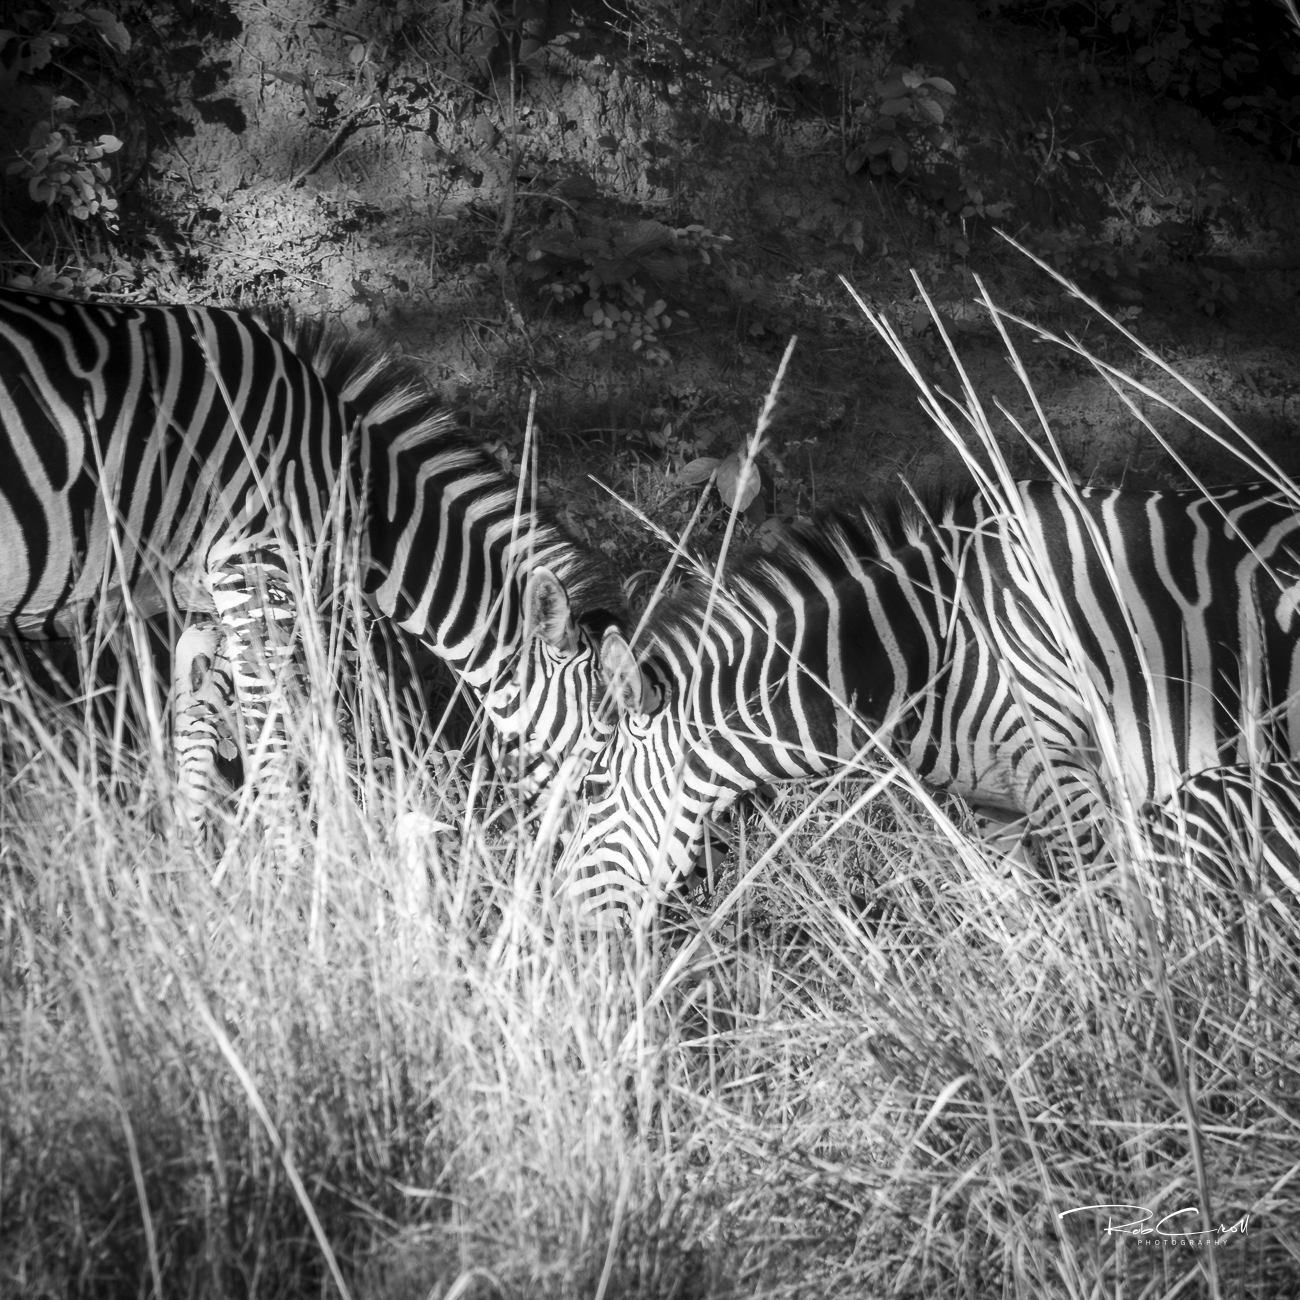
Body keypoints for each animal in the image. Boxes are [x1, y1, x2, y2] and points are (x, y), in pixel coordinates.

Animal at [0, 286, 639, 838]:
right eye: (601, 752)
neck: (355, 488)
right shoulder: (255, 573)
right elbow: (273, 746)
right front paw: (292, 881)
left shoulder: (214, 598)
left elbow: (198, 722)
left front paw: (190, 867)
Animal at [561, 480, 1300, 926]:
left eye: (592, 788)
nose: (563, 927)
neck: (933, 650)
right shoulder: (1002, 808)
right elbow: (1027, 930)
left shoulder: (1068, 779)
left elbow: (1111, 918)